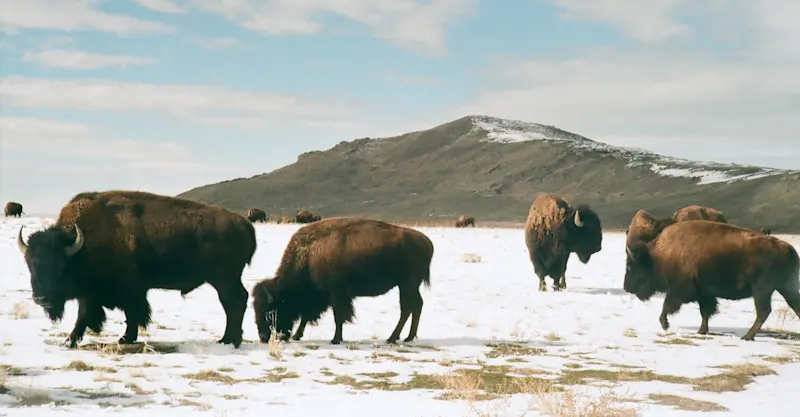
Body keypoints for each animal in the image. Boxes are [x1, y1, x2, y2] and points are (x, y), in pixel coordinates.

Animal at [16, 190, 256, 348]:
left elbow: (127, 314)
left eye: (59, 266)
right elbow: (90, 314)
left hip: (224, 280)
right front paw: (72, 339)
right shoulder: (93, 293)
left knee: (234, 302)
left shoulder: (128, 291)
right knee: (235, 303)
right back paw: (230, 339)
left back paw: (228, 340)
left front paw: (122, 338)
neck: (80, 247)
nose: (41, 298)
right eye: (30, 264)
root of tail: (245, 224)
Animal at [251, 217, 434, 345]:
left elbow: (337, 317)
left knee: (407, 308)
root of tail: (426, 241)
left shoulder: (336, 295)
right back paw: (409, 337)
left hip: (407, 285)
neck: (309, 254)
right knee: (417, 305)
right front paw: (297, 335)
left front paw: (335, 339)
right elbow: (307, 316)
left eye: (269, 311)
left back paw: (392, 338)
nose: (263, 337)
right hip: (411, 286)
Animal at [624, 219, 800, 341]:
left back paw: (747, 337)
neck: (660, 254)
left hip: (762, 290)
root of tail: (788, 249)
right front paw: (702, 330)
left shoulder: (679, 289)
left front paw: (665, 324)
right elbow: (705, 311)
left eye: (631, 267)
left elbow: (668, 305)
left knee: (763, 311)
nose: (626, 287)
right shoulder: (704, 293)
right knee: (793, 306)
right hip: (785, 287)